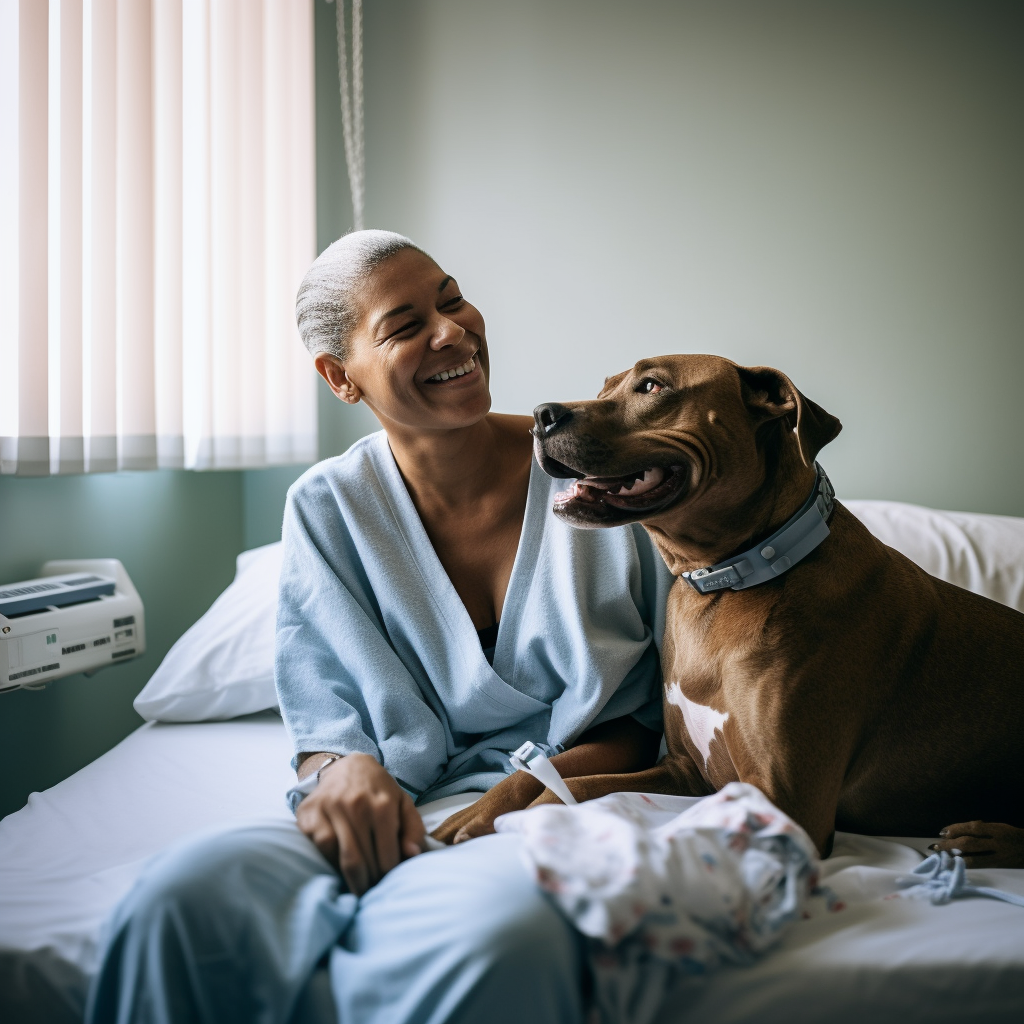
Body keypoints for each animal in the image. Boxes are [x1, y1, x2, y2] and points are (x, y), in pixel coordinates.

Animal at [532, 352, 1019, 864]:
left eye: (651, 386)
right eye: (604, 388)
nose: (541, 414)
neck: (727, 583)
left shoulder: (787, 803)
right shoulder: (686, 770)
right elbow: (573, 787)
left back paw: (988, 841)